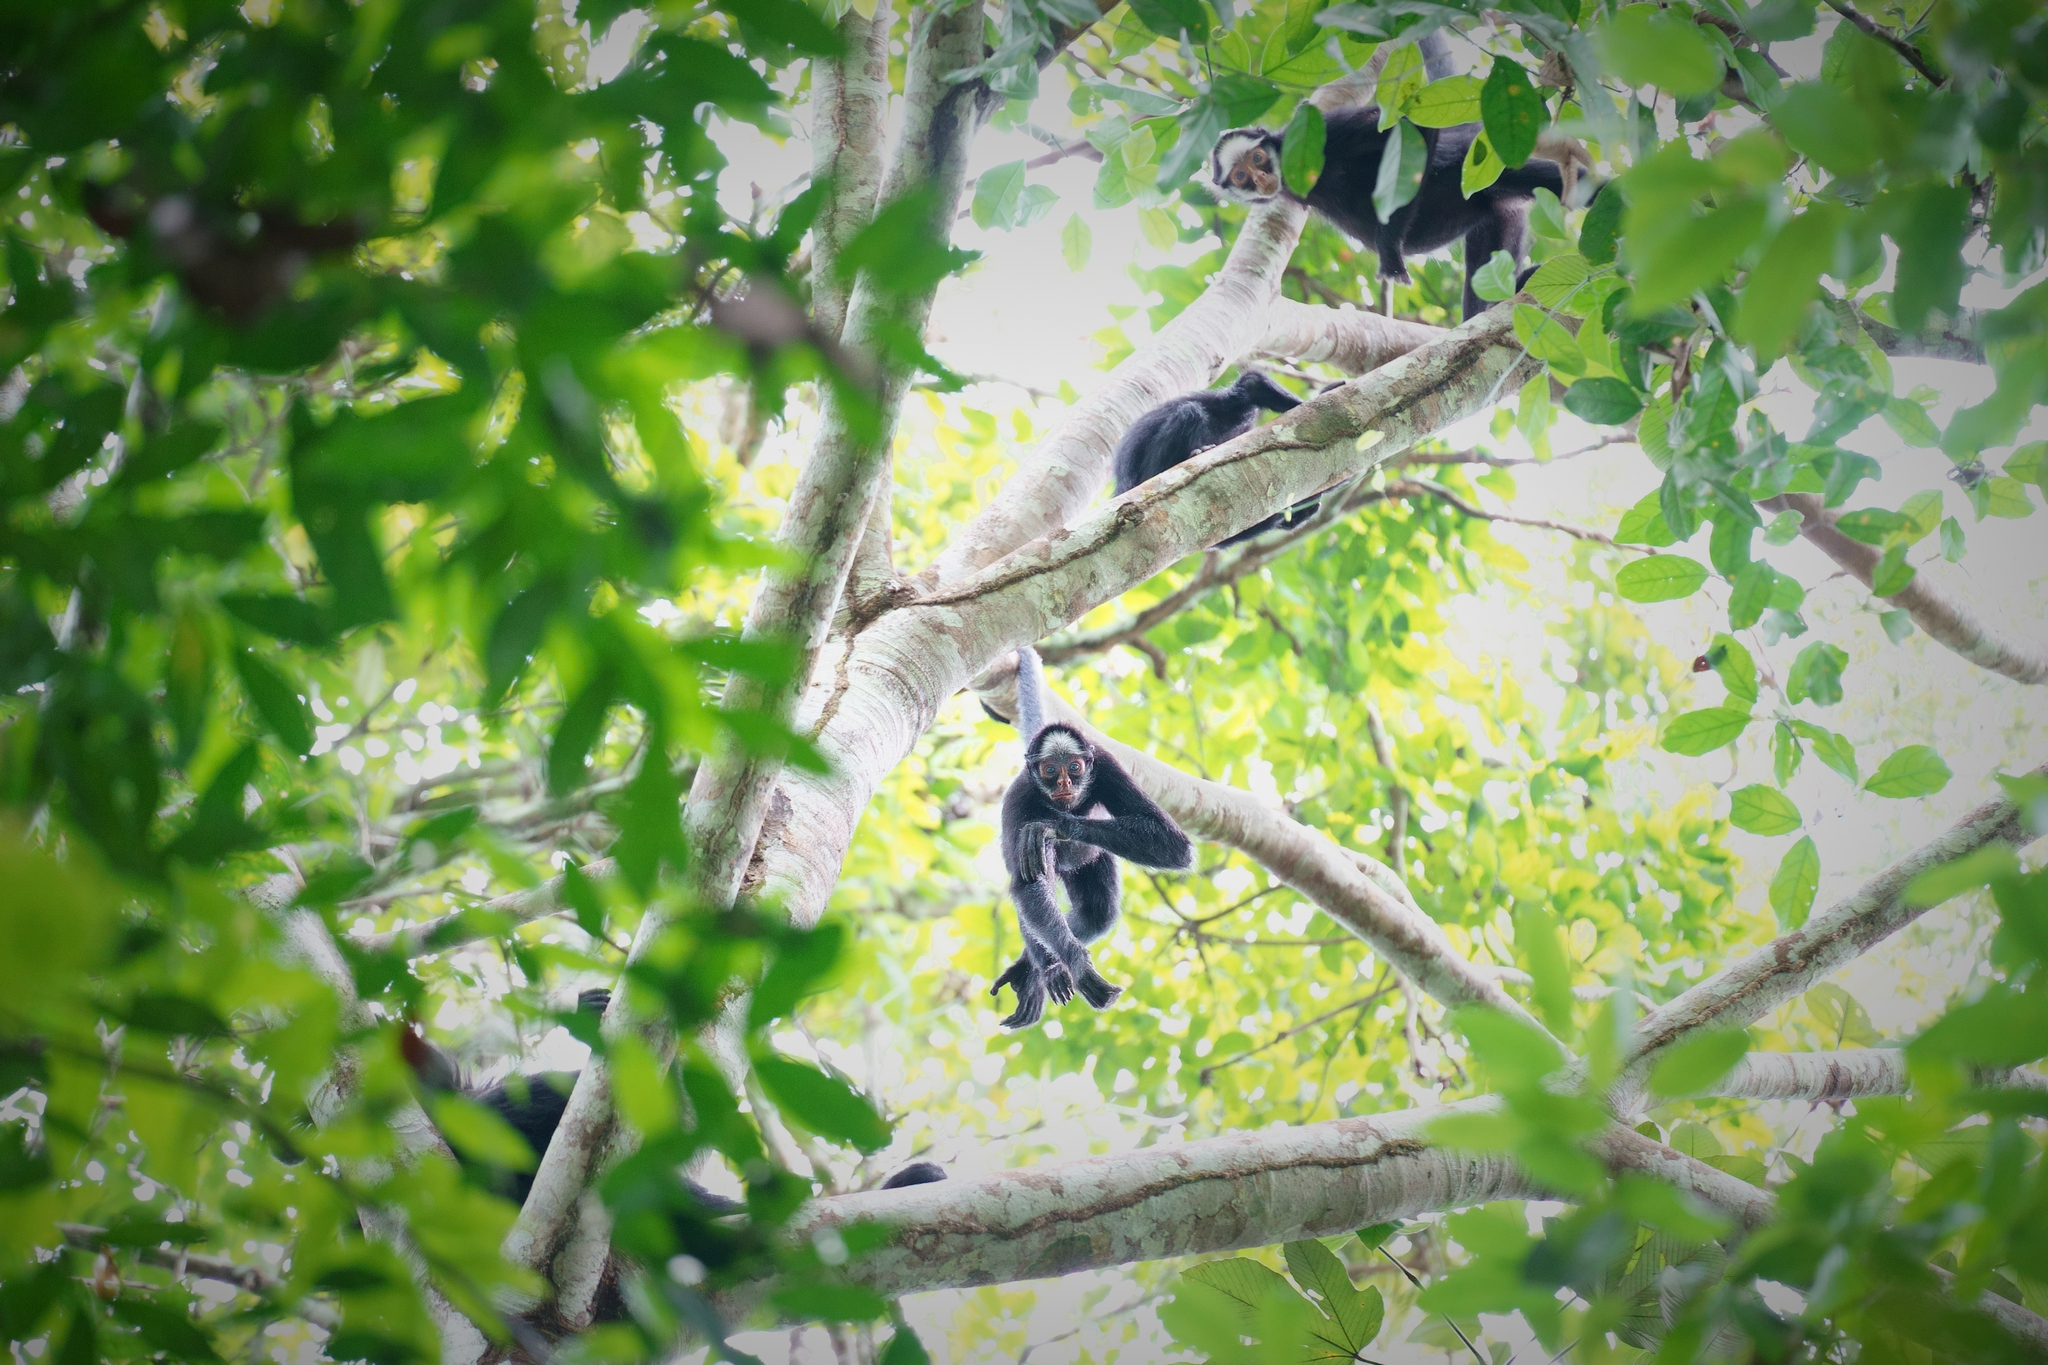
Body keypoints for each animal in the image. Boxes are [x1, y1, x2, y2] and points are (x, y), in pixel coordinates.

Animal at [991, 648, 1194, 1029]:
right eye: (1050, 770)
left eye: (1074, 768)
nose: (1063, 784)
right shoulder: (1019, 797)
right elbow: (1026, 885)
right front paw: (1077, 965)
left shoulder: (1105, 763)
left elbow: (1176, 846)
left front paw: (1056, 825)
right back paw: (1045, 969)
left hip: (1093, 858)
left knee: (1097, 913)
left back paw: (1031, 971)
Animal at [1208, 31, 1572, 320]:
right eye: (1240, 176)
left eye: (1258, 158)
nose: (1261, 178)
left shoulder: (1325, 131)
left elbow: (1415, 129)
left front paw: (1390, 252)